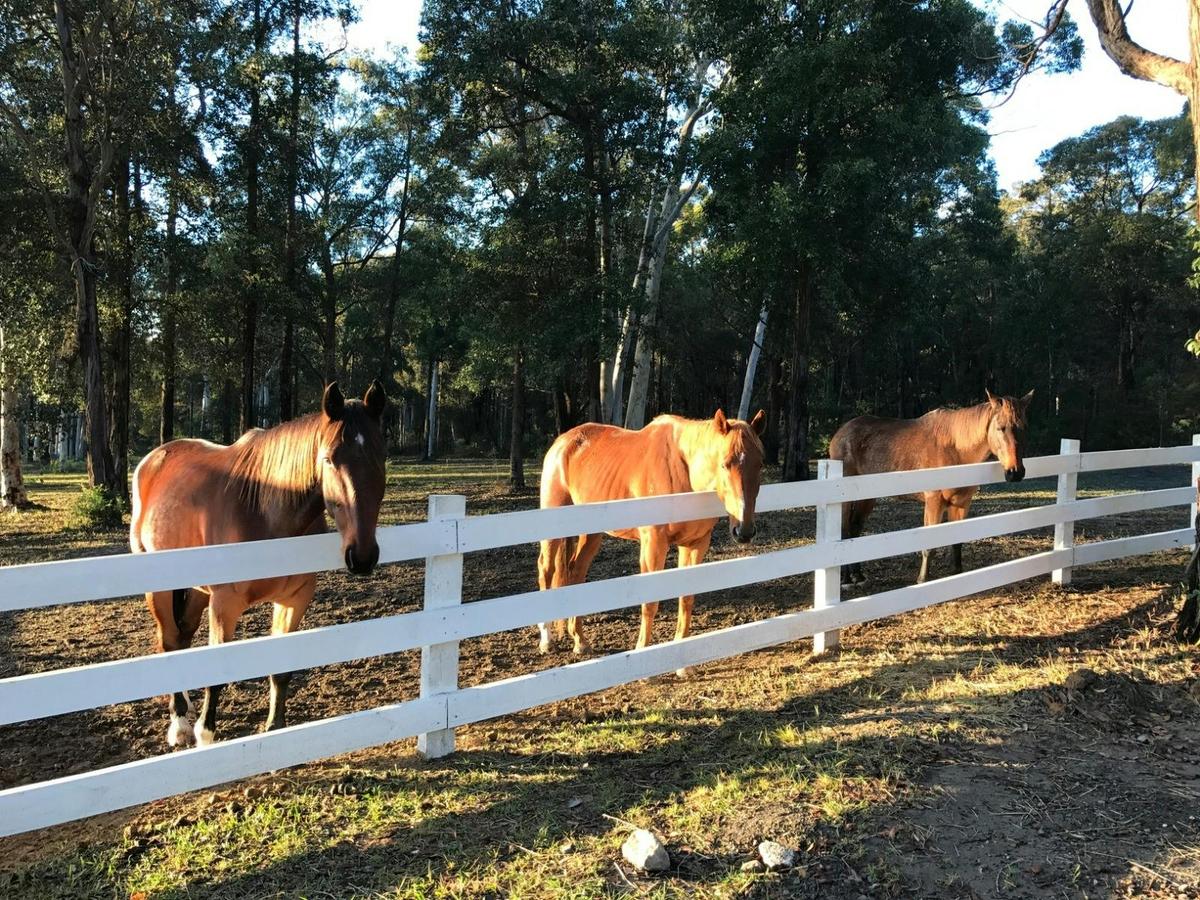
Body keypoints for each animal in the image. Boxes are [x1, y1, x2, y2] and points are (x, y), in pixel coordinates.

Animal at [129, 381, 387, 748]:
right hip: (160, 588)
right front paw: (206, 734)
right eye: (328, 458)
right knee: (168, 642)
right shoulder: (225, 604)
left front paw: (275, 728)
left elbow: (281, 669)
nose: (362, 556)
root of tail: (154, 458)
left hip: (197, 591)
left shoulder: (294, 599)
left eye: (381, 457)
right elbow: (217, 672)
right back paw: (179, 725)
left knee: (182, 639)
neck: (265, 509)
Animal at [536, 409, 766, 666]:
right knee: (546, 570)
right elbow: (650, 602)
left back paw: (580, 641)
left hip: (591, 532)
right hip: (552, 525)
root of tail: (563, 442)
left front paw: (683, 667)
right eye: (725, 464)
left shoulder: (695, 545)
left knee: (576, 571)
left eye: (760, 463)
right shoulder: (653, 544)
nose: (744, 531)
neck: (684, 471)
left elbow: (686, 599)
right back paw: (546, 641)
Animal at [829, 389, 1033, 585]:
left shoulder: (961, 503)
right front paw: (923, 580)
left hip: (867, 498)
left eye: (1024, 428)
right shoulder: (934, 502)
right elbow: (930, 545)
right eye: (1000, 428)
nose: (1015, 472)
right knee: (845, 531)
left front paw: (957, 574)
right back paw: (846, 579)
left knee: (855, 529)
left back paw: (858, 576)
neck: (955, 449)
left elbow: (957, 542)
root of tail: (840, 433)